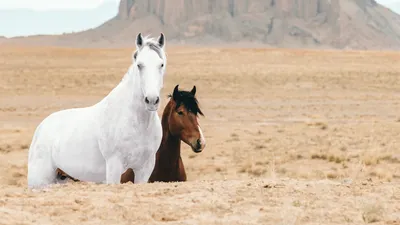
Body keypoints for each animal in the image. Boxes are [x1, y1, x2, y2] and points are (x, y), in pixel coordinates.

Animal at [27, 32, 167, 189]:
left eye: (161, 64)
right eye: (139, 65)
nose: (152, 100)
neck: (137, 122)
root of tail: (41, 127)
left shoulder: (145, 167)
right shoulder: (114, 165)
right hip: (39, 179)